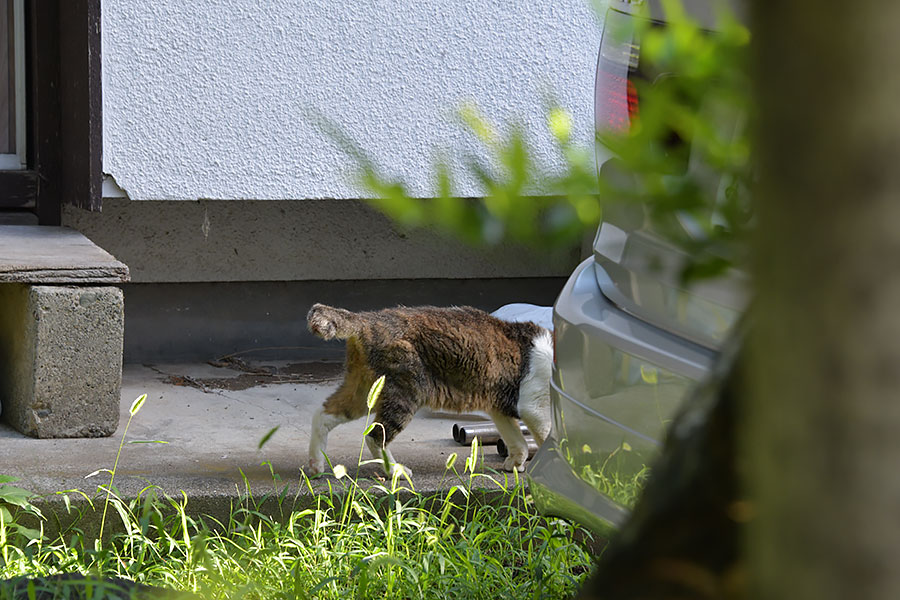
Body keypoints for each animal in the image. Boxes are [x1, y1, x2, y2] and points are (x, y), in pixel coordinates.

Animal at [306, 304, 552, 478]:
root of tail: (368, 320)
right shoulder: (534, 407)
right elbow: (548, 438)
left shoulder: (499, 407)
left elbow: (517, 440)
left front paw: (516, 463)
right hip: (405, 393)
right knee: (375, 436)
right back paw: (395, 472)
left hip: (363, 390)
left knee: (323, 414)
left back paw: (316, 465)